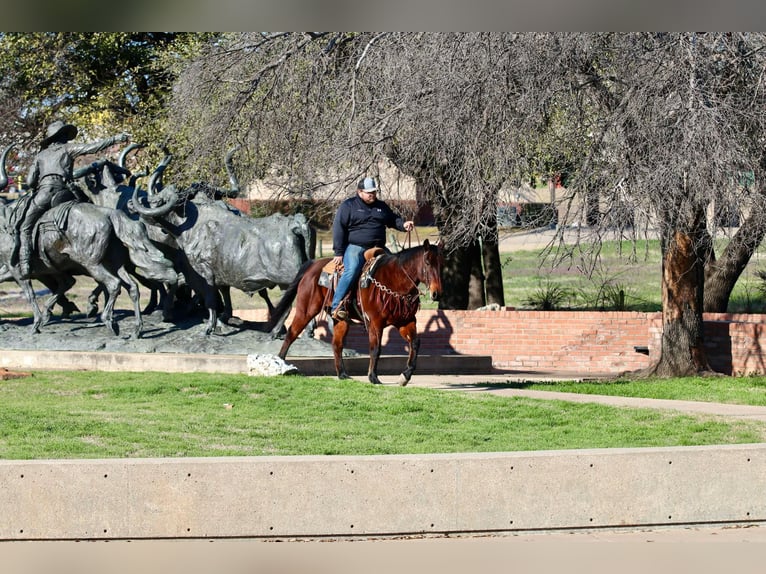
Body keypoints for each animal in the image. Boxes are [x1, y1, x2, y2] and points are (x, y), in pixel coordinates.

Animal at [270, 239, 443, 385]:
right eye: (427, 262)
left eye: (441, 263)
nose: (437, 293)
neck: (393, 280)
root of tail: (313, 264)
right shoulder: (375, 323)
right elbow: (376, 348)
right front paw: (373, 377)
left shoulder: (405, 321)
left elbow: (415, 343)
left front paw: (405, 376)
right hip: (306, 310)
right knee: (292, 333)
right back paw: (280, 363)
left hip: (340, 320)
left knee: (337, 344)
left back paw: (342, 374)